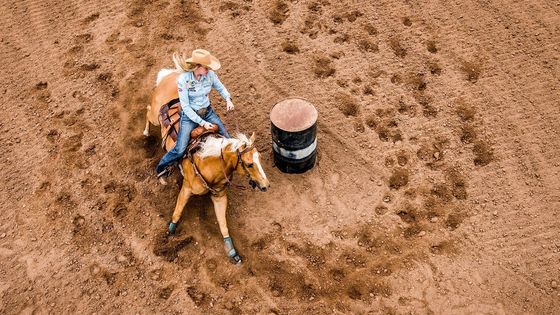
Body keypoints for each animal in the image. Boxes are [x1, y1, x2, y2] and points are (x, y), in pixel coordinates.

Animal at [145, 69, 270, 264]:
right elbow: (177, 212)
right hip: (155, 117)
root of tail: (173, 74)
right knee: (147, 111)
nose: (265, 185)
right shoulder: (187, 189)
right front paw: (169, 233)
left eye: (260, 159)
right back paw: (146, 136)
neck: (208, 163)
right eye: (249, 164)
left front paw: (232, 252)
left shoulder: (219, 197)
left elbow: (223, 225)